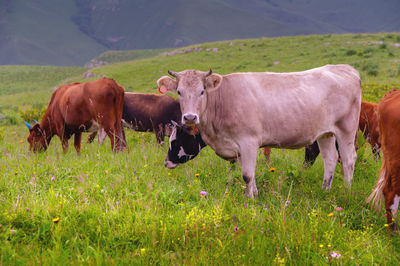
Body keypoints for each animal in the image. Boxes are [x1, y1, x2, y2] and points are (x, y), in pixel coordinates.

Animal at [157, 64, 362, 197]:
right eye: (179, 92)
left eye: (201, 91)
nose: (190, 117)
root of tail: (344, 68)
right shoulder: (239, 148)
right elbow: (250, 174)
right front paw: (253, 194)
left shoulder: (248, 141)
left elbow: (247, 175)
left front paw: (250, 200)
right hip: (325, 133)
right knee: (330, 158)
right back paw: (325, 190)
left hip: (346, 128)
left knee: (348, 159)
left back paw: (347, 191)